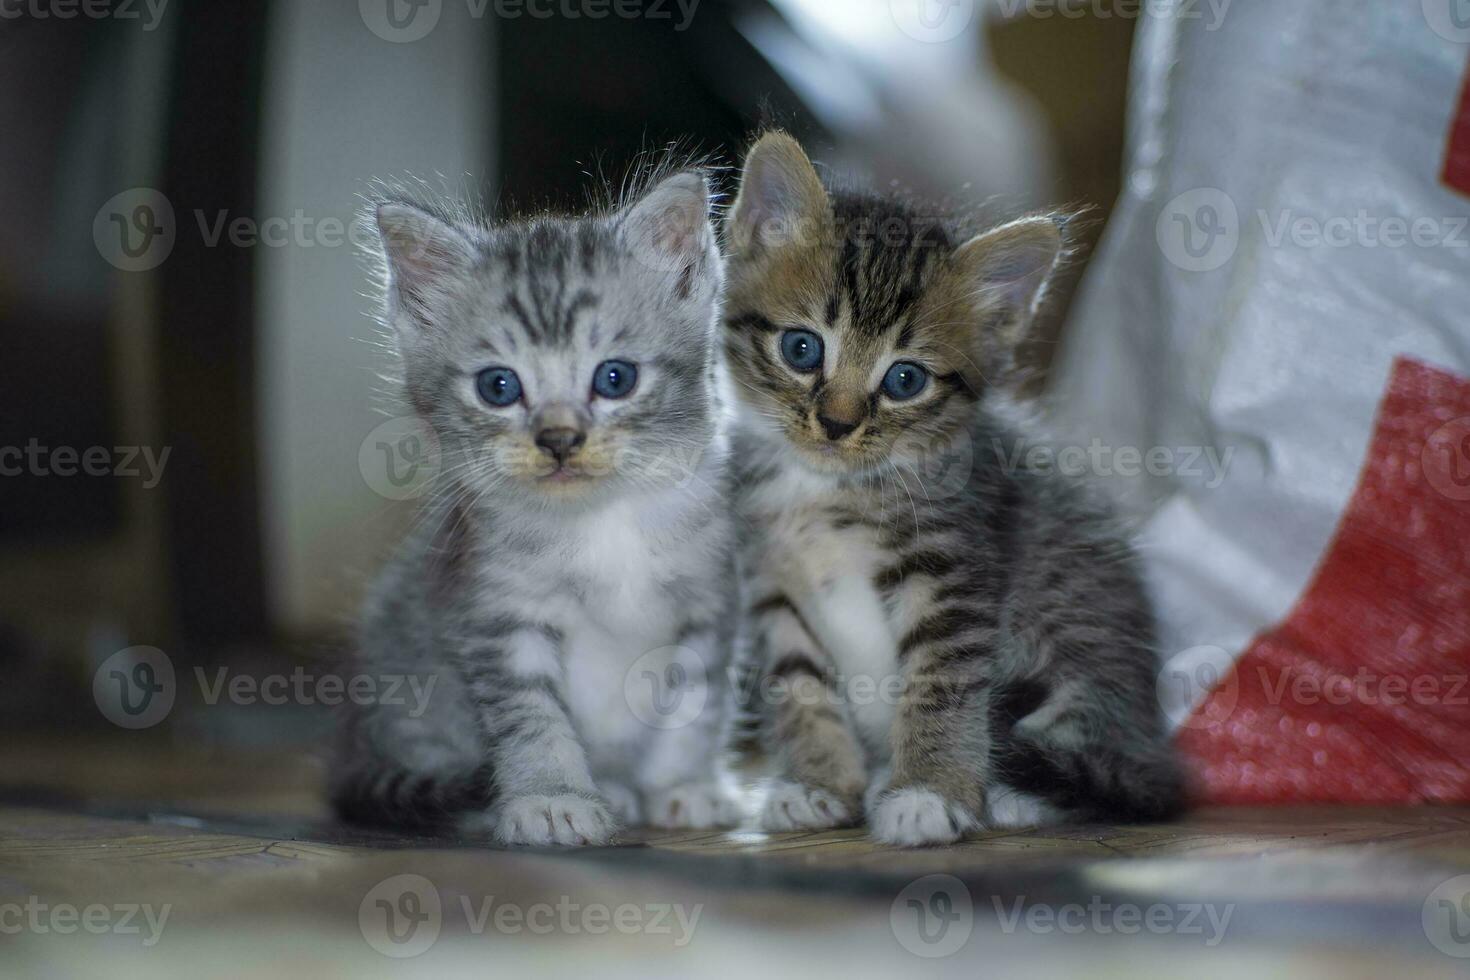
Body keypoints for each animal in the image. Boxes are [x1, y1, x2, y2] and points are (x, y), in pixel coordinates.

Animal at [336, 166, 746, 846]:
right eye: (498, 386)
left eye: (615, 378)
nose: (558, 439)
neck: (605, 521)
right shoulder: (499, 611)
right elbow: (533, 715)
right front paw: (552, 798)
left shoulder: (710, 602)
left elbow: (694, 706)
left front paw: (681, 786)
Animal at [723, 134, 1181, 846]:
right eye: (802, 348)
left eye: (905, 380)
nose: (837, 424)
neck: (830, 490)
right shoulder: (772, 587)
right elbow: (797, 685)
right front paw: (818, 783)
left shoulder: (953, 568)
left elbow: (940, 684)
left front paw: (930, 792)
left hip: (1082, 625)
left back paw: (1016, 794)